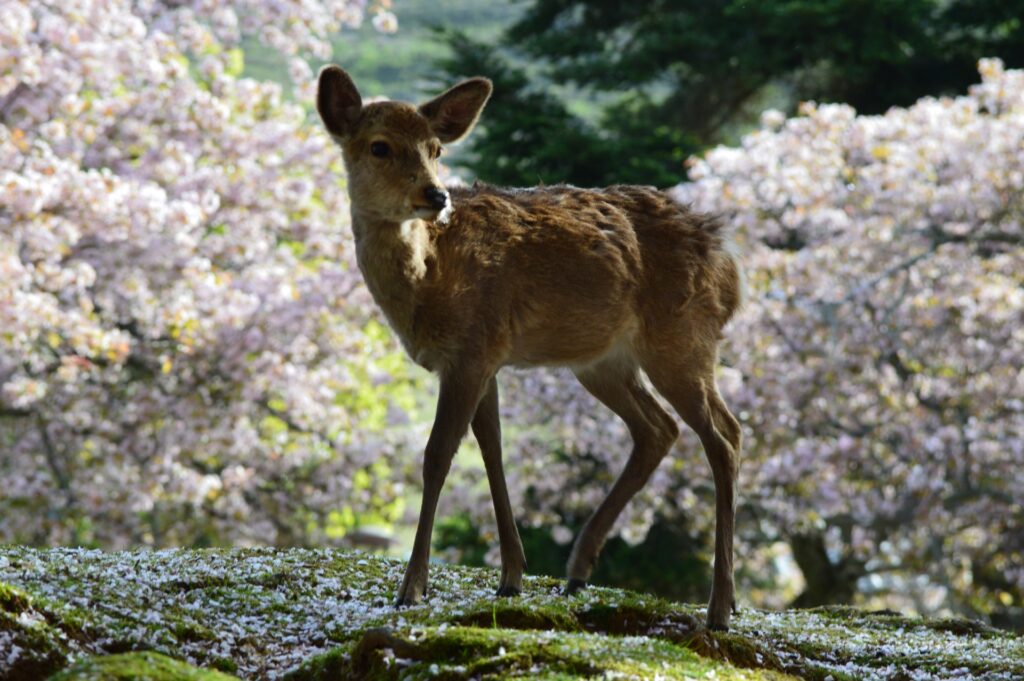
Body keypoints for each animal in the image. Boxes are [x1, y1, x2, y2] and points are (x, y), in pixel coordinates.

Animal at [317, 66, 745, 630]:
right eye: (379, 146)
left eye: (435, 148)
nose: (436, 196)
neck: (429, 279)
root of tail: (731, 269)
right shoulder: (483, 357)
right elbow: (492, 451)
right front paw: (511, 576)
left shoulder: (471, 349)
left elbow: (436, 456)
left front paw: (411, 588)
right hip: (603, 361)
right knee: (660, 428)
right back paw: (580, 570)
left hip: (681, 337)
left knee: (723, 436)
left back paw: (719, 605)